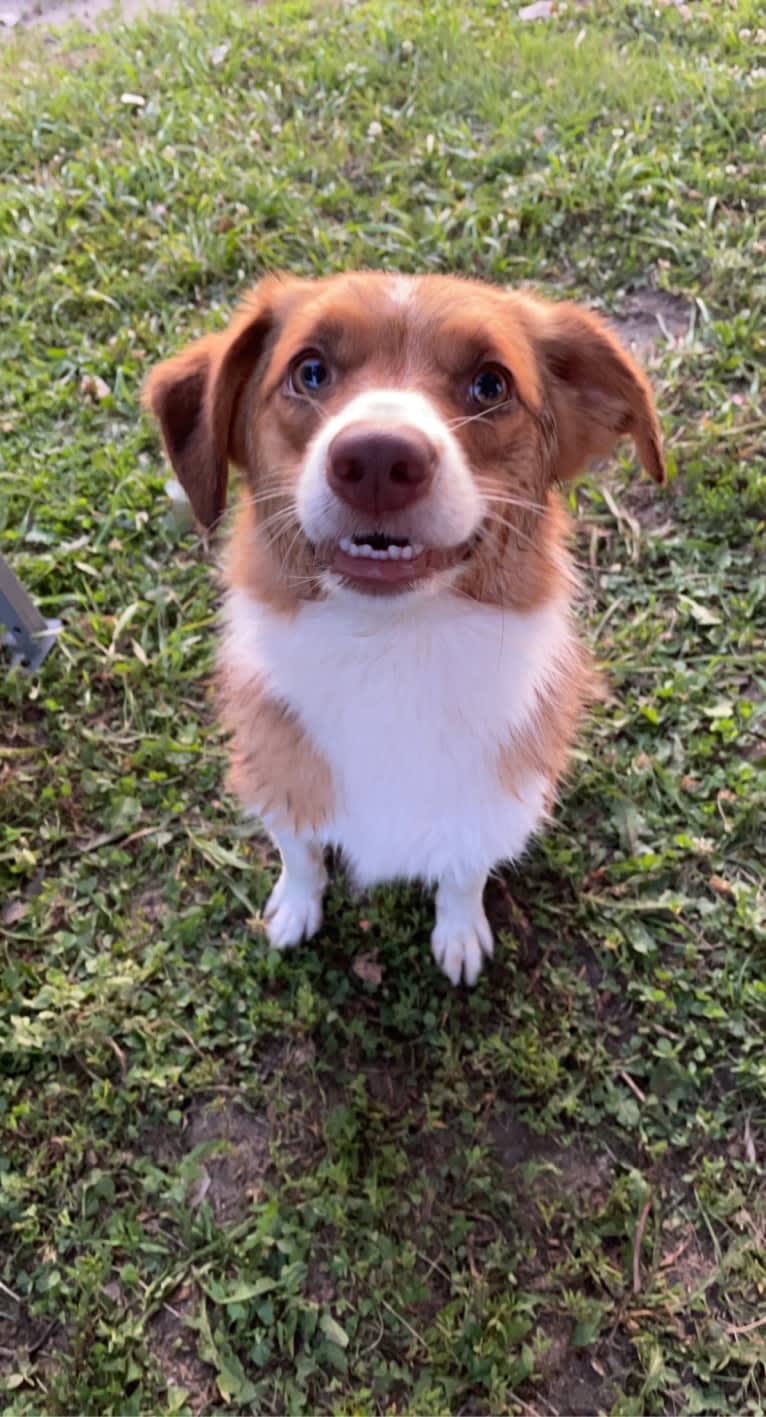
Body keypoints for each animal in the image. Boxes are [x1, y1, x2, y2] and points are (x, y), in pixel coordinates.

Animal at [145, 273, 662, 986]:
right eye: (310, 371)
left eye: (491, 384)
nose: (377, 458)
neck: (388, 651)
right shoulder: (280, 779)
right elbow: (301, 854)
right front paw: (295, 908)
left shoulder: (491, 804)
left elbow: (463, 874)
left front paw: (460, 932)